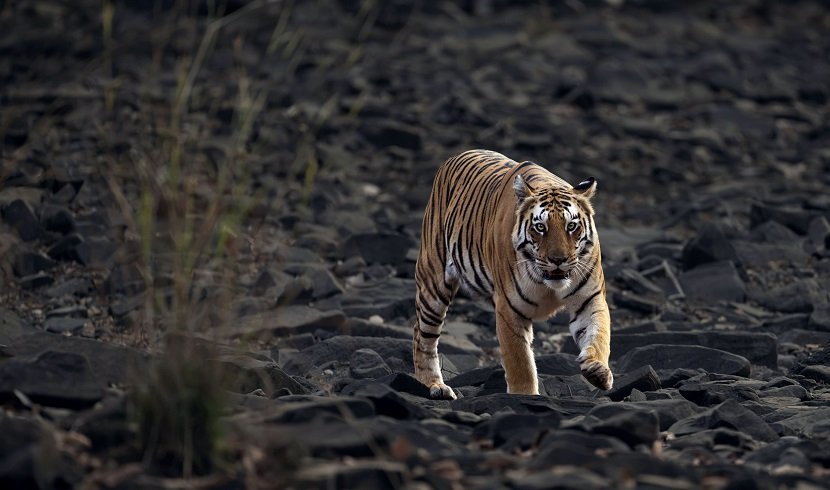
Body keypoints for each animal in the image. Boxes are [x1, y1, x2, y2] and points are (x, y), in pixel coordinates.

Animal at [413, 149, 613, 400]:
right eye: (540, 227)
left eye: (571, 226)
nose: (558, 260)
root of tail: (457, 155)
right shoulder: (510, 309)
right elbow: (520, 362)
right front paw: (524, 397)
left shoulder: (590, 300)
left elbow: (598, 335)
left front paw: (598, 371)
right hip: (433, 284)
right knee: (422, 336)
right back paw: (436, 386)